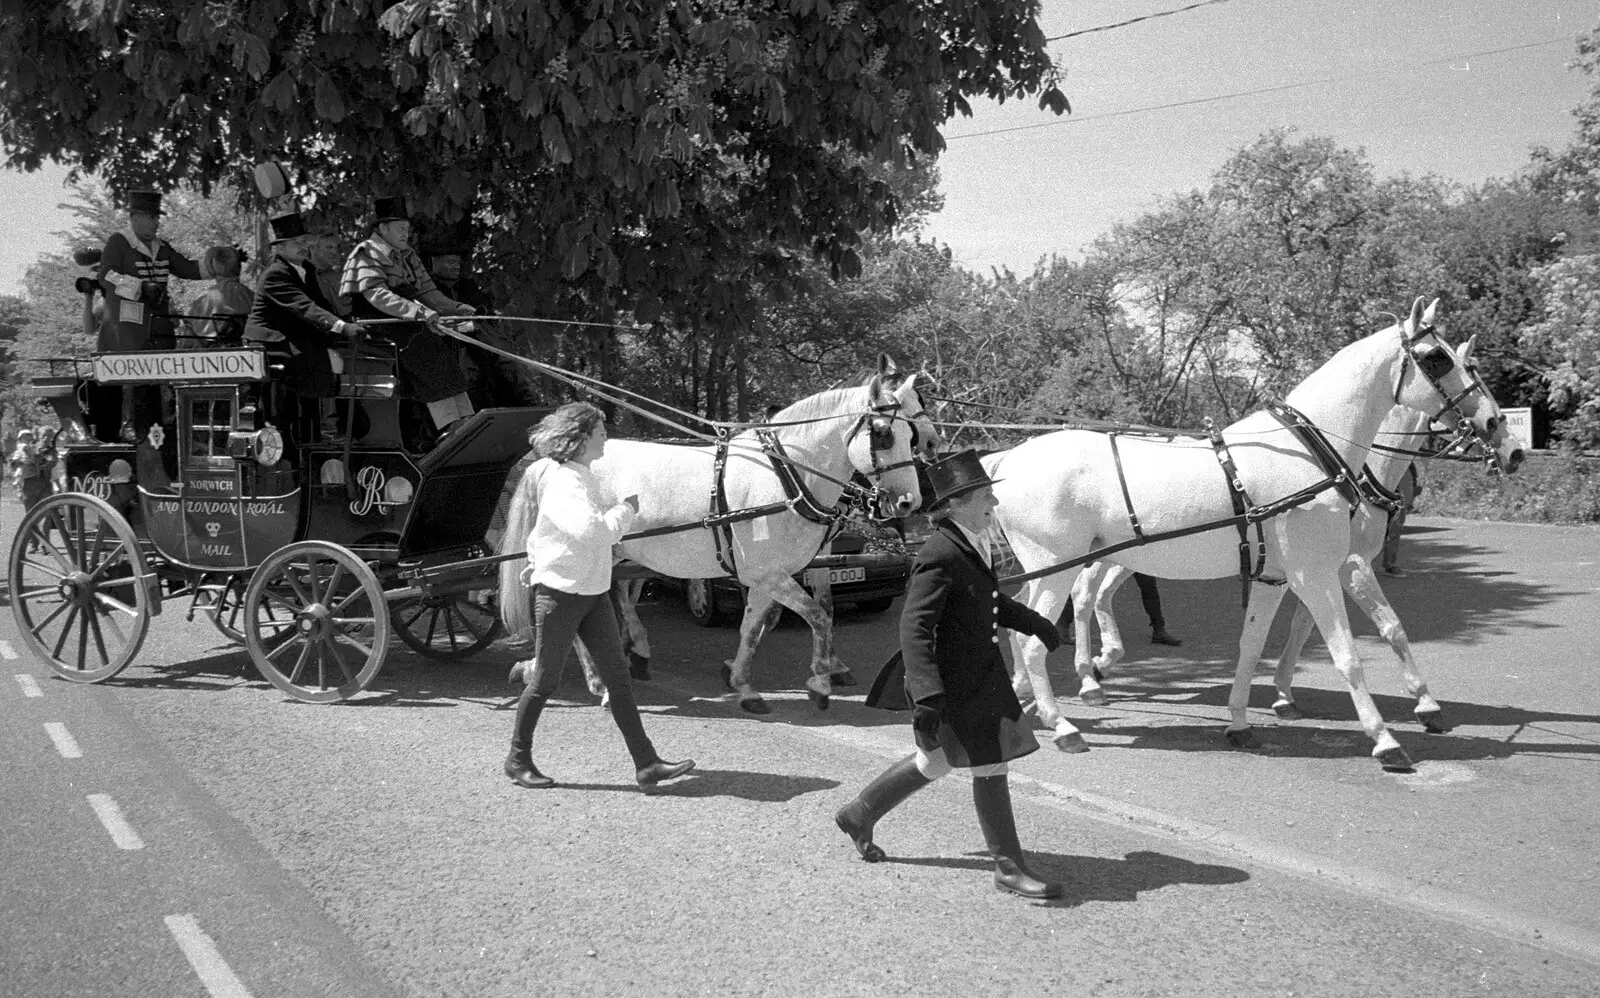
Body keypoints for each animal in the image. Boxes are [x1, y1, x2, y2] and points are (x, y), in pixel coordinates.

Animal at [496, 359, 928, 716]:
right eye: (883, 434)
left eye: (912, 433)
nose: (909, 502)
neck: (786, 475)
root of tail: (552, 463)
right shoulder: (769, 574)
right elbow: (819, 617)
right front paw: (820, 683)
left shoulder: (767, 576)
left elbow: (755, 627)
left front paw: (742, 684)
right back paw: (594, 680)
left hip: (612, 557)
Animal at [985, 300, 1523, 767]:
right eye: (1438, 358)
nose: (1500, 429)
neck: (1311, 450)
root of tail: (1007, 460)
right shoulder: (1322, 571)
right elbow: (1353, 652)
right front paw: (1388, 739)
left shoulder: (1278, 577)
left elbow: (1254, 646)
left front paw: (1243, 721)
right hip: (1059, 567)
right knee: (1037, 639)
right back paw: (1064, 724)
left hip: (1060, 566)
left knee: (1028, 623)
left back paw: (1036, 698)